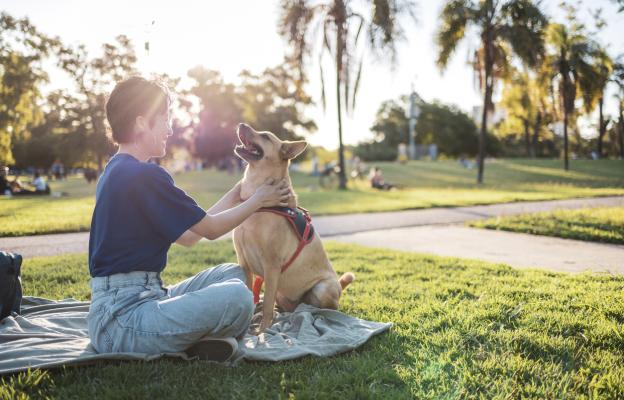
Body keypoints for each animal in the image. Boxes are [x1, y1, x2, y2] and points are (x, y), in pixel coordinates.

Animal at [233, 123, 354, 330]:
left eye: (265, 136)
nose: (241, 124)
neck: (257, 204)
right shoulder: (244, 263)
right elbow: (251, 296)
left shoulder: (272, 265)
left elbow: (267, 305)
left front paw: (263, 330)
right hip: (283, 294)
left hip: (322, 288)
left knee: (327, 308)